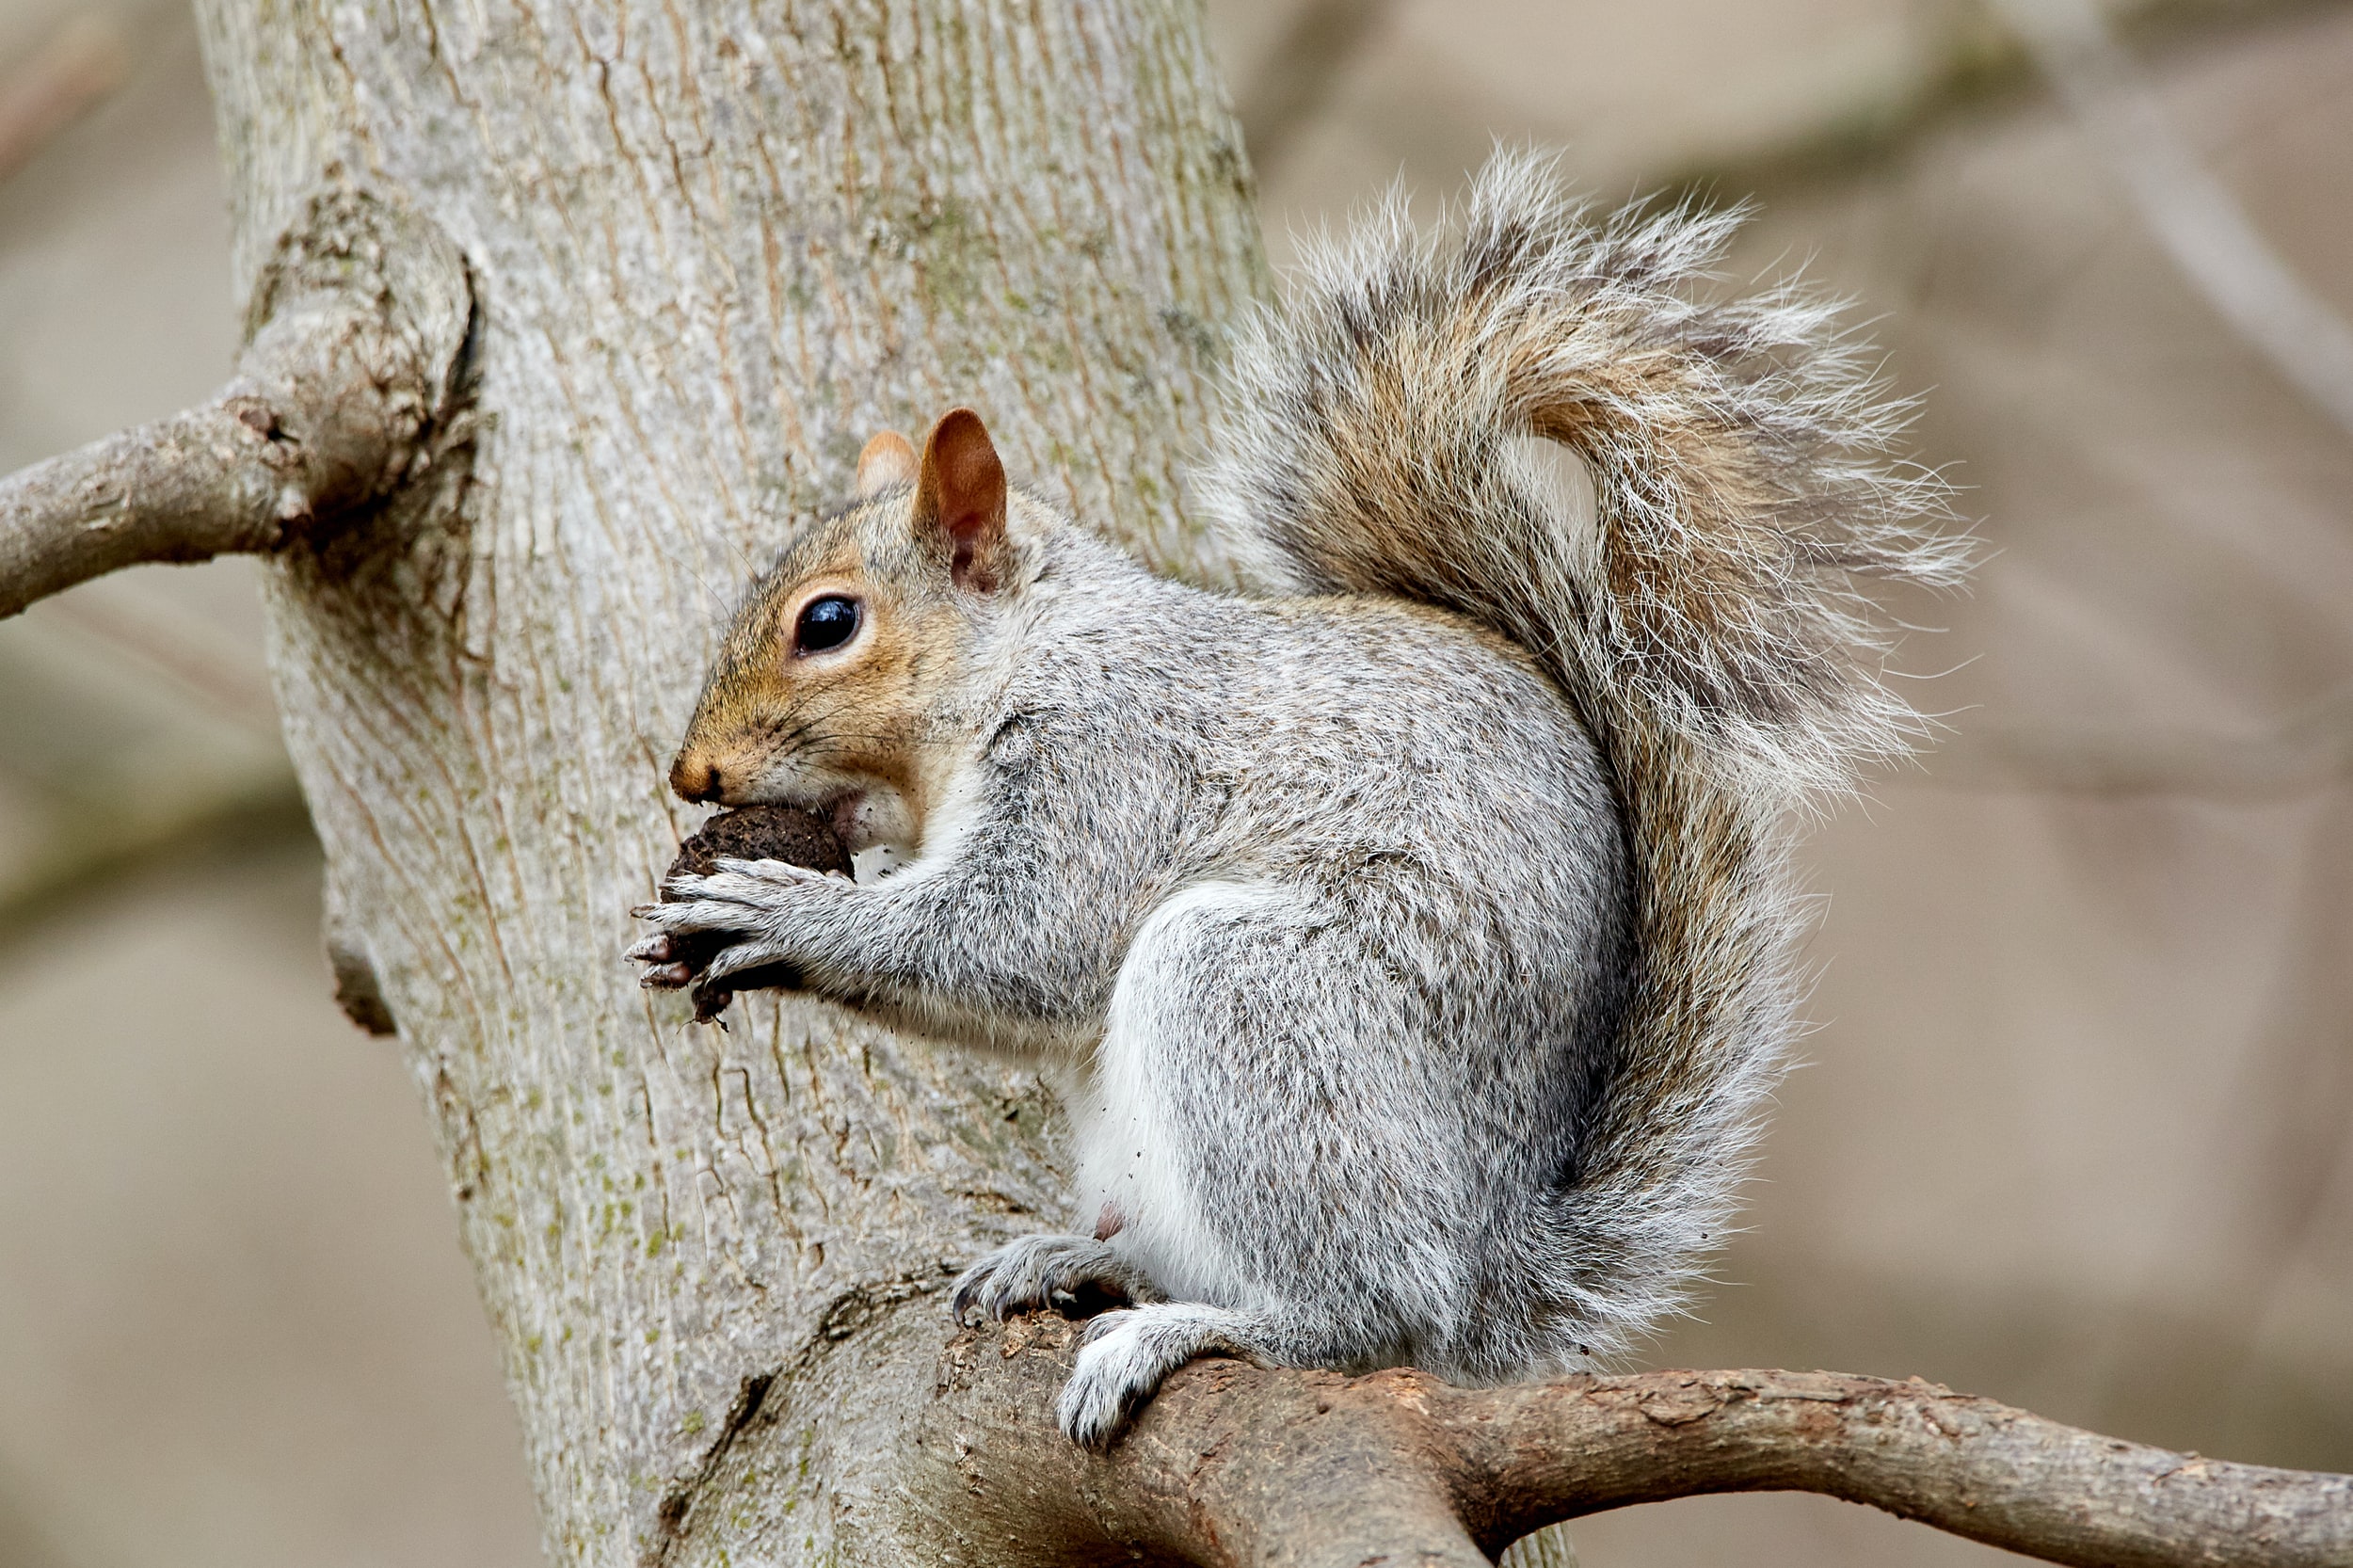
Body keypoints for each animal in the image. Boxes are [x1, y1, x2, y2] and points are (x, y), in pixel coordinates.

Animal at [629, 152, 1964, 1448]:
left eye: (829, 623)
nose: (693, 776)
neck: (1030, 658)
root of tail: (1491, 1261)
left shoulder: (1112, 762)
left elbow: (1022, 943)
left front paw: (777, 912)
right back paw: (1074, 1261)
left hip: (1264, 1008)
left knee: (1364, 1316)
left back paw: (1205, 1329)